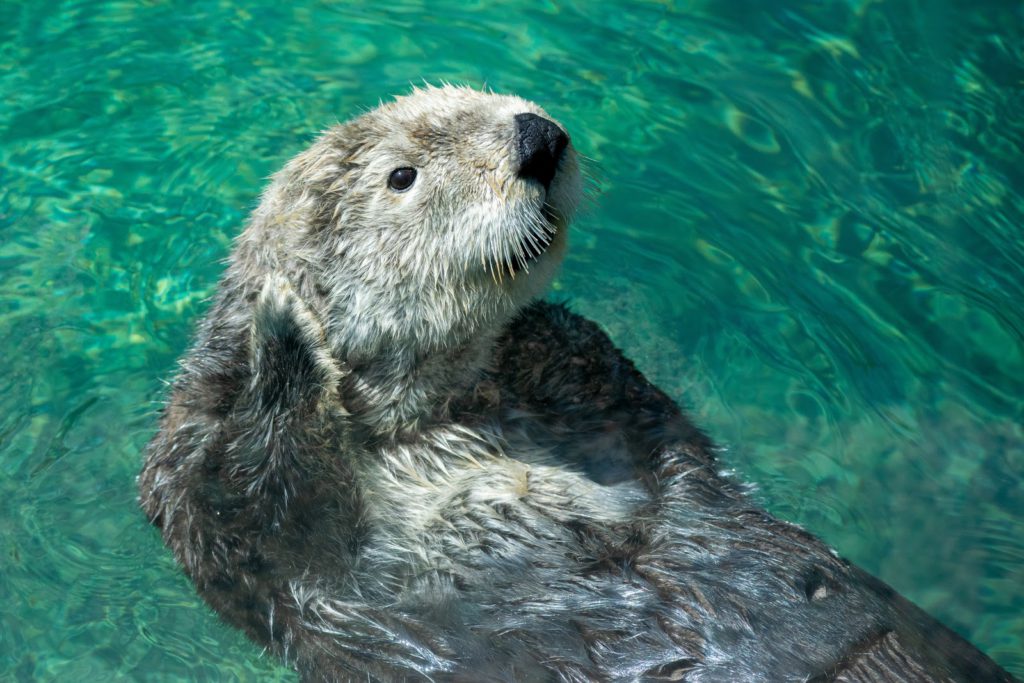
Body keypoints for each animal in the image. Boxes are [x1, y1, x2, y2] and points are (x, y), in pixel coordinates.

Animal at [138, 85, 1015, 683]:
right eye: (401, 176)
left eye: (485, 98)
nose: (537, 136)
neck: (437, 413)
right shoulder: (217, 506)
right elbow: (254, 499)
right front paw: (284, 332)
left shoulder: (594, 383)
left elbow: (656, 438)